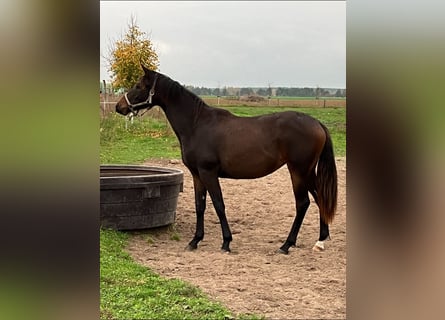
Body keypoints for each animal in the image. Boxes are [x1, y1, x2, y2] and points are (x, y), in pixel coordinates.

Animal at [115, 65, 336, 255]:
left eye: (139, 86)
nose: (119, 107)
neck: (197, 124)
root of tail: (317, 123)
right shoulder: (197, 175)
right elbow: (200, 206)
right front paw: (195, 241)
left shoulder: (208, 173)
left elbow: (219, 205)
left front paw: (226, 242)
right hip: (307, 172)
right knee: (319, 198)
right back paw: (320, 241)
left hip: (298, 171)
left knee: (303, 203)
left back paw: (286, 244)